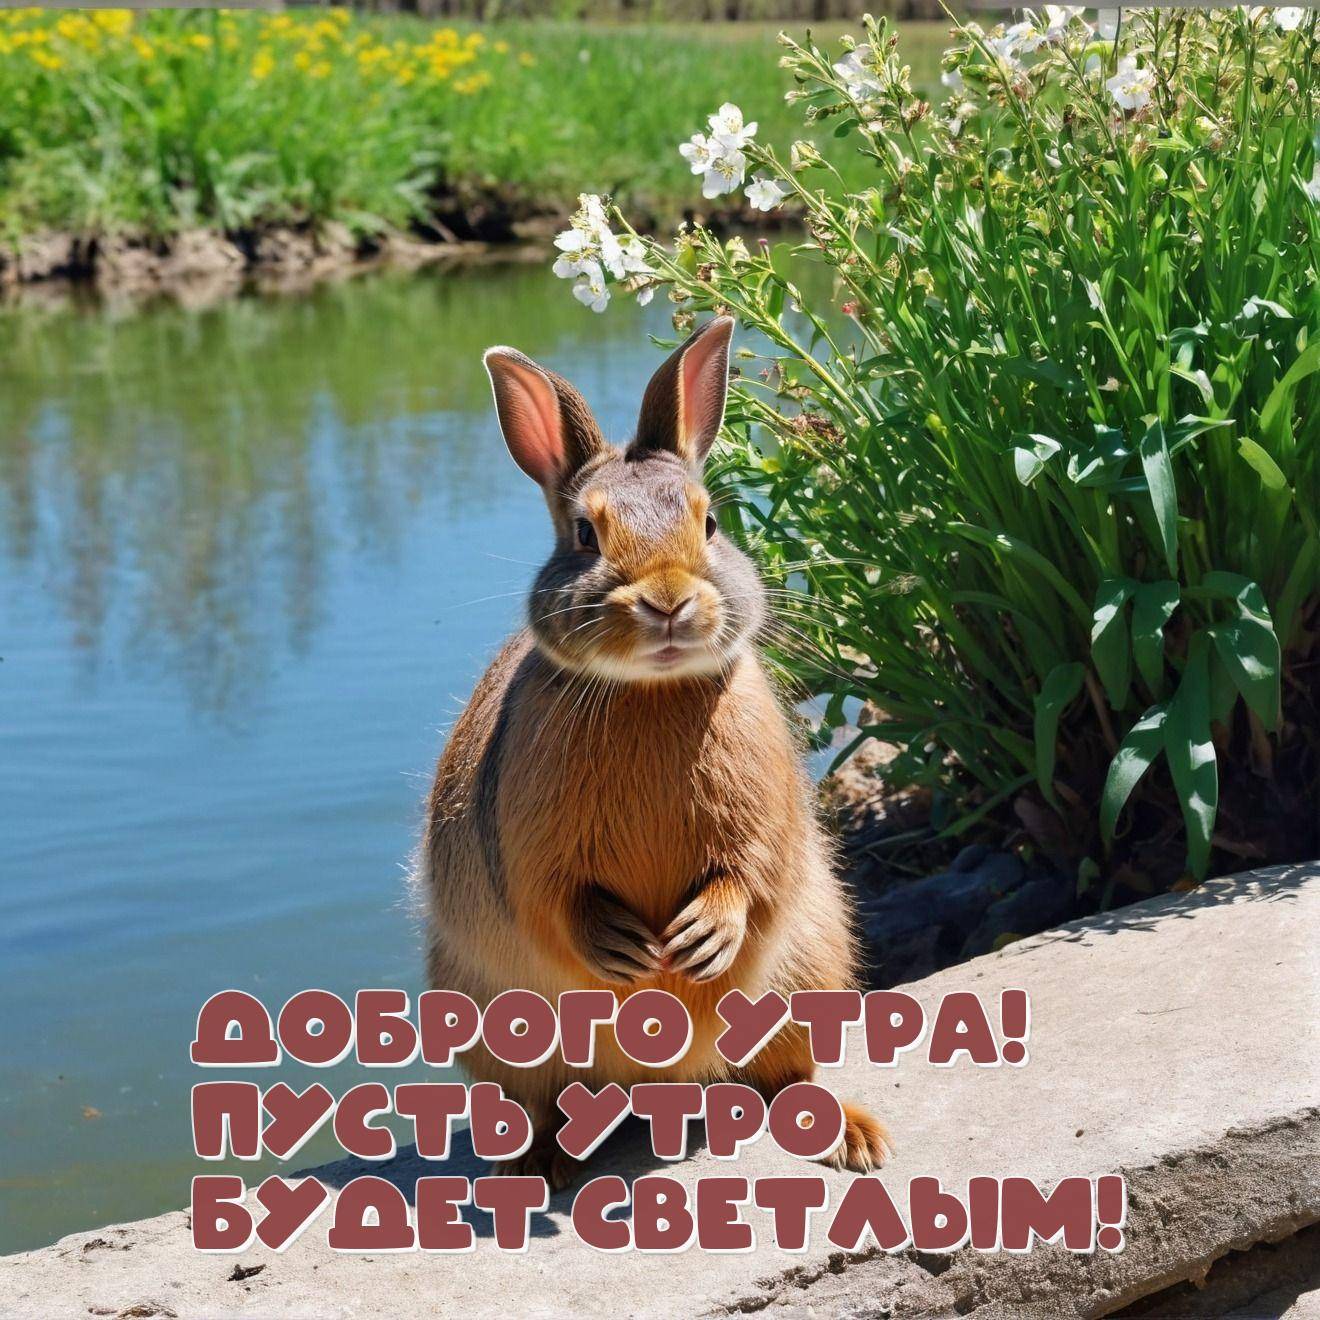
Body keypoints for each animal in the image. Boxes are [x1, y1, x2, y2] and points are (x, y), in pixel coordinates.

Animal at [415, 315, 891, 1188]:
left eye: (710, 523)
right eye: (584, 532)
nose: (667, 599)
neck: (649, 689)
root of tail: (658, 1083)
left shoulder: (762, 826)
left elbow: (748, 877)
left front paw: (702, 938)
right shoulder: (532, 858)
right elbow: (557, 905)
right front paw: (624, 947)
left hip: (807, 973)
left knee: (788, 1078)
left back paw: (851, 1136)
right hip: (499, 1029)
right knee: (538, 1109)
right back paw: (528, 1172)